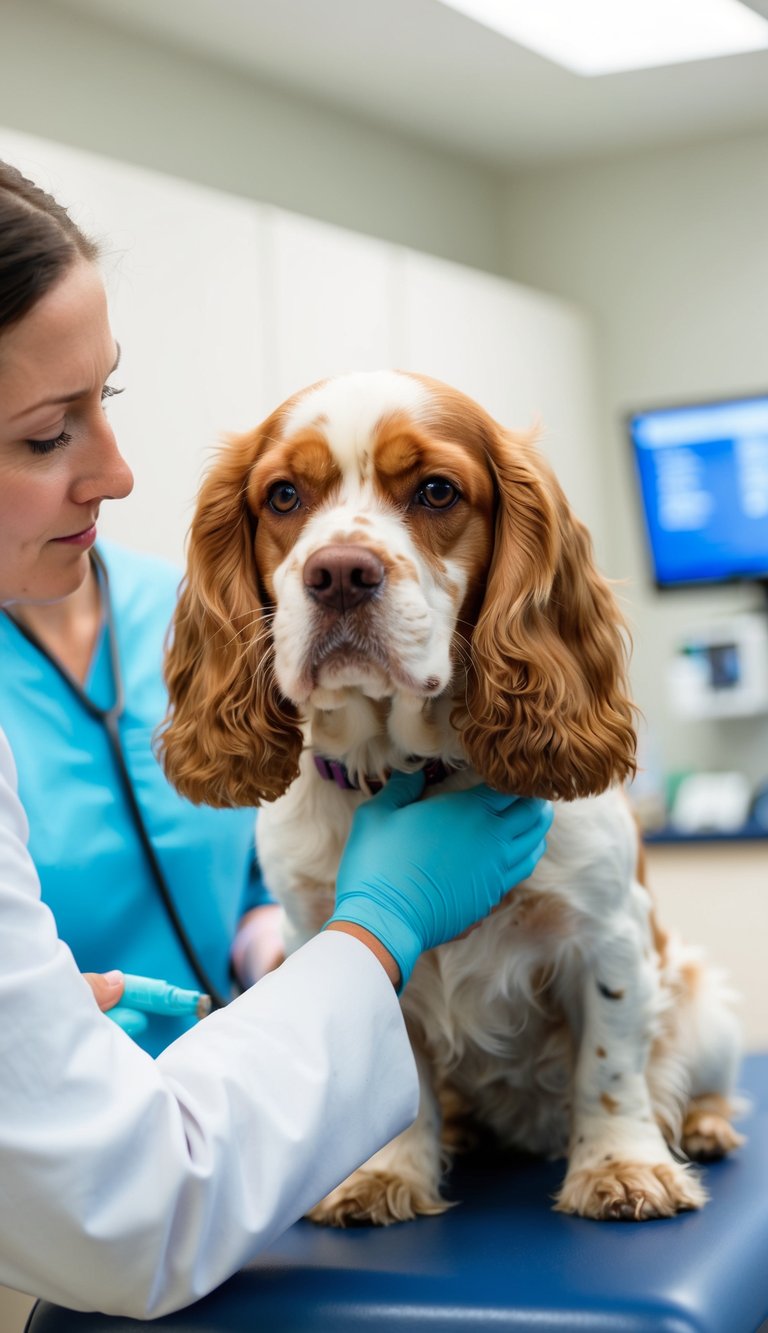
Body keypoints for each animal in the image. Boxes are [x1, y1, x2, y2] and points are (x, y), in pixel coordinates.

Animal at [161, 369, 743, 1224]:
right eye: (283, 495)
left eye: (437, 490)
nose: (339, 572)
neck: (405, 768)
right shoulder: (327, 934)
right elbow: (395, 1066)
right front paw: (383, 1172)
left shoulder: (607, 932)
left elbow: (609, 1065)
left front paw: (622, 1166)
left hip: (707, 1001)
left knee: (695, 1075)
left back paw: (703, 1125)